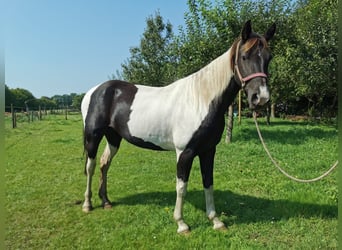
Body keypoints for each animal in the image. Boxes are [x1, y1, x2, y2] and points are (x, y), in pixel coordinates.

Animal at [80, 20, 276, 233]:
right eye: (244, 56)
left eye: (269, 57)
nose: (261, 97)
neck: (201, 100)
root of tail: (94, 91)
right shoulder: (185, 152)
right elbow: (181, 186)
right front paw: (181, 224)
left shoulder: (208, 151)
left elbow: (209, 182)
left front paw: (215, 221)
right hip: (93, 136)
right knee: (90, 166)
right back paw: (87, 204)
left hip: (114, 137)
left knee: (104, 163)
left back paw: (106, 201)